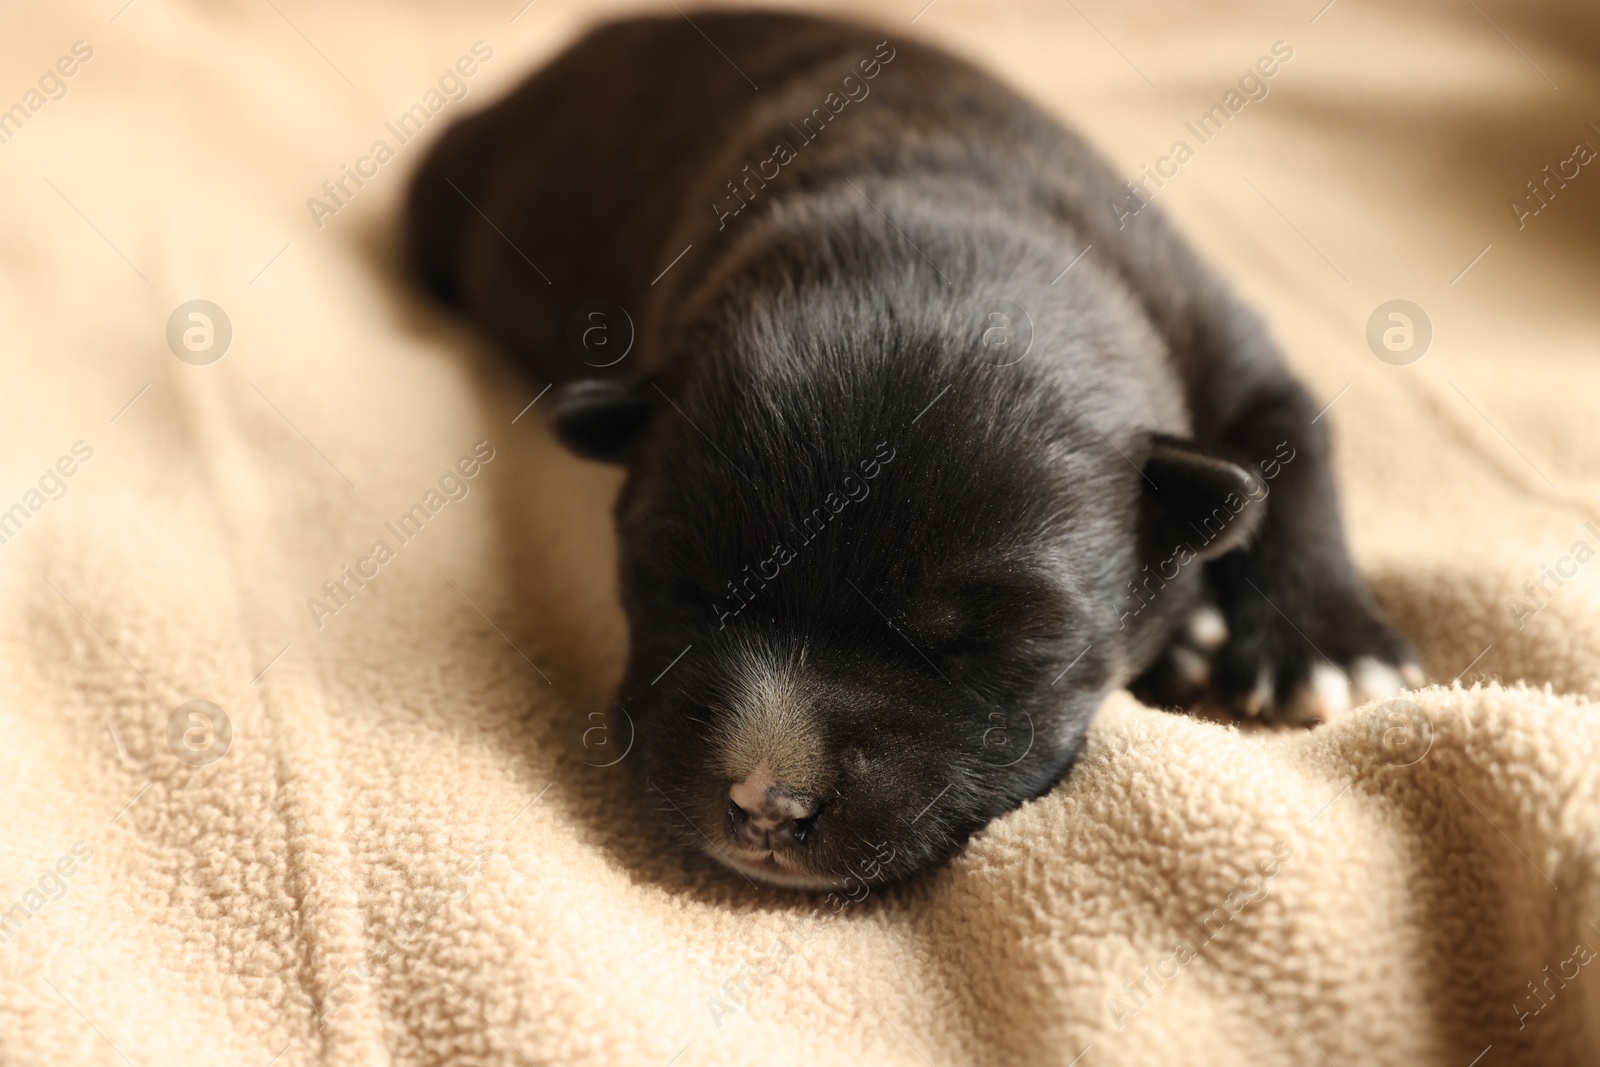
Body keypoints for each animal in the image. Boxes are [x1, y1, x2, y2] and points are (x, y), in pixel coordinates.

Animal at [406, 12, 1420, 889]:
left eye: (983, 646)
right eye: (679, 586)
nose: (765, 802)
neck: (934, 218)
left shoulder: (1219, 336)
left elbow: (1297, 454)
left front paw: (1328, 644)